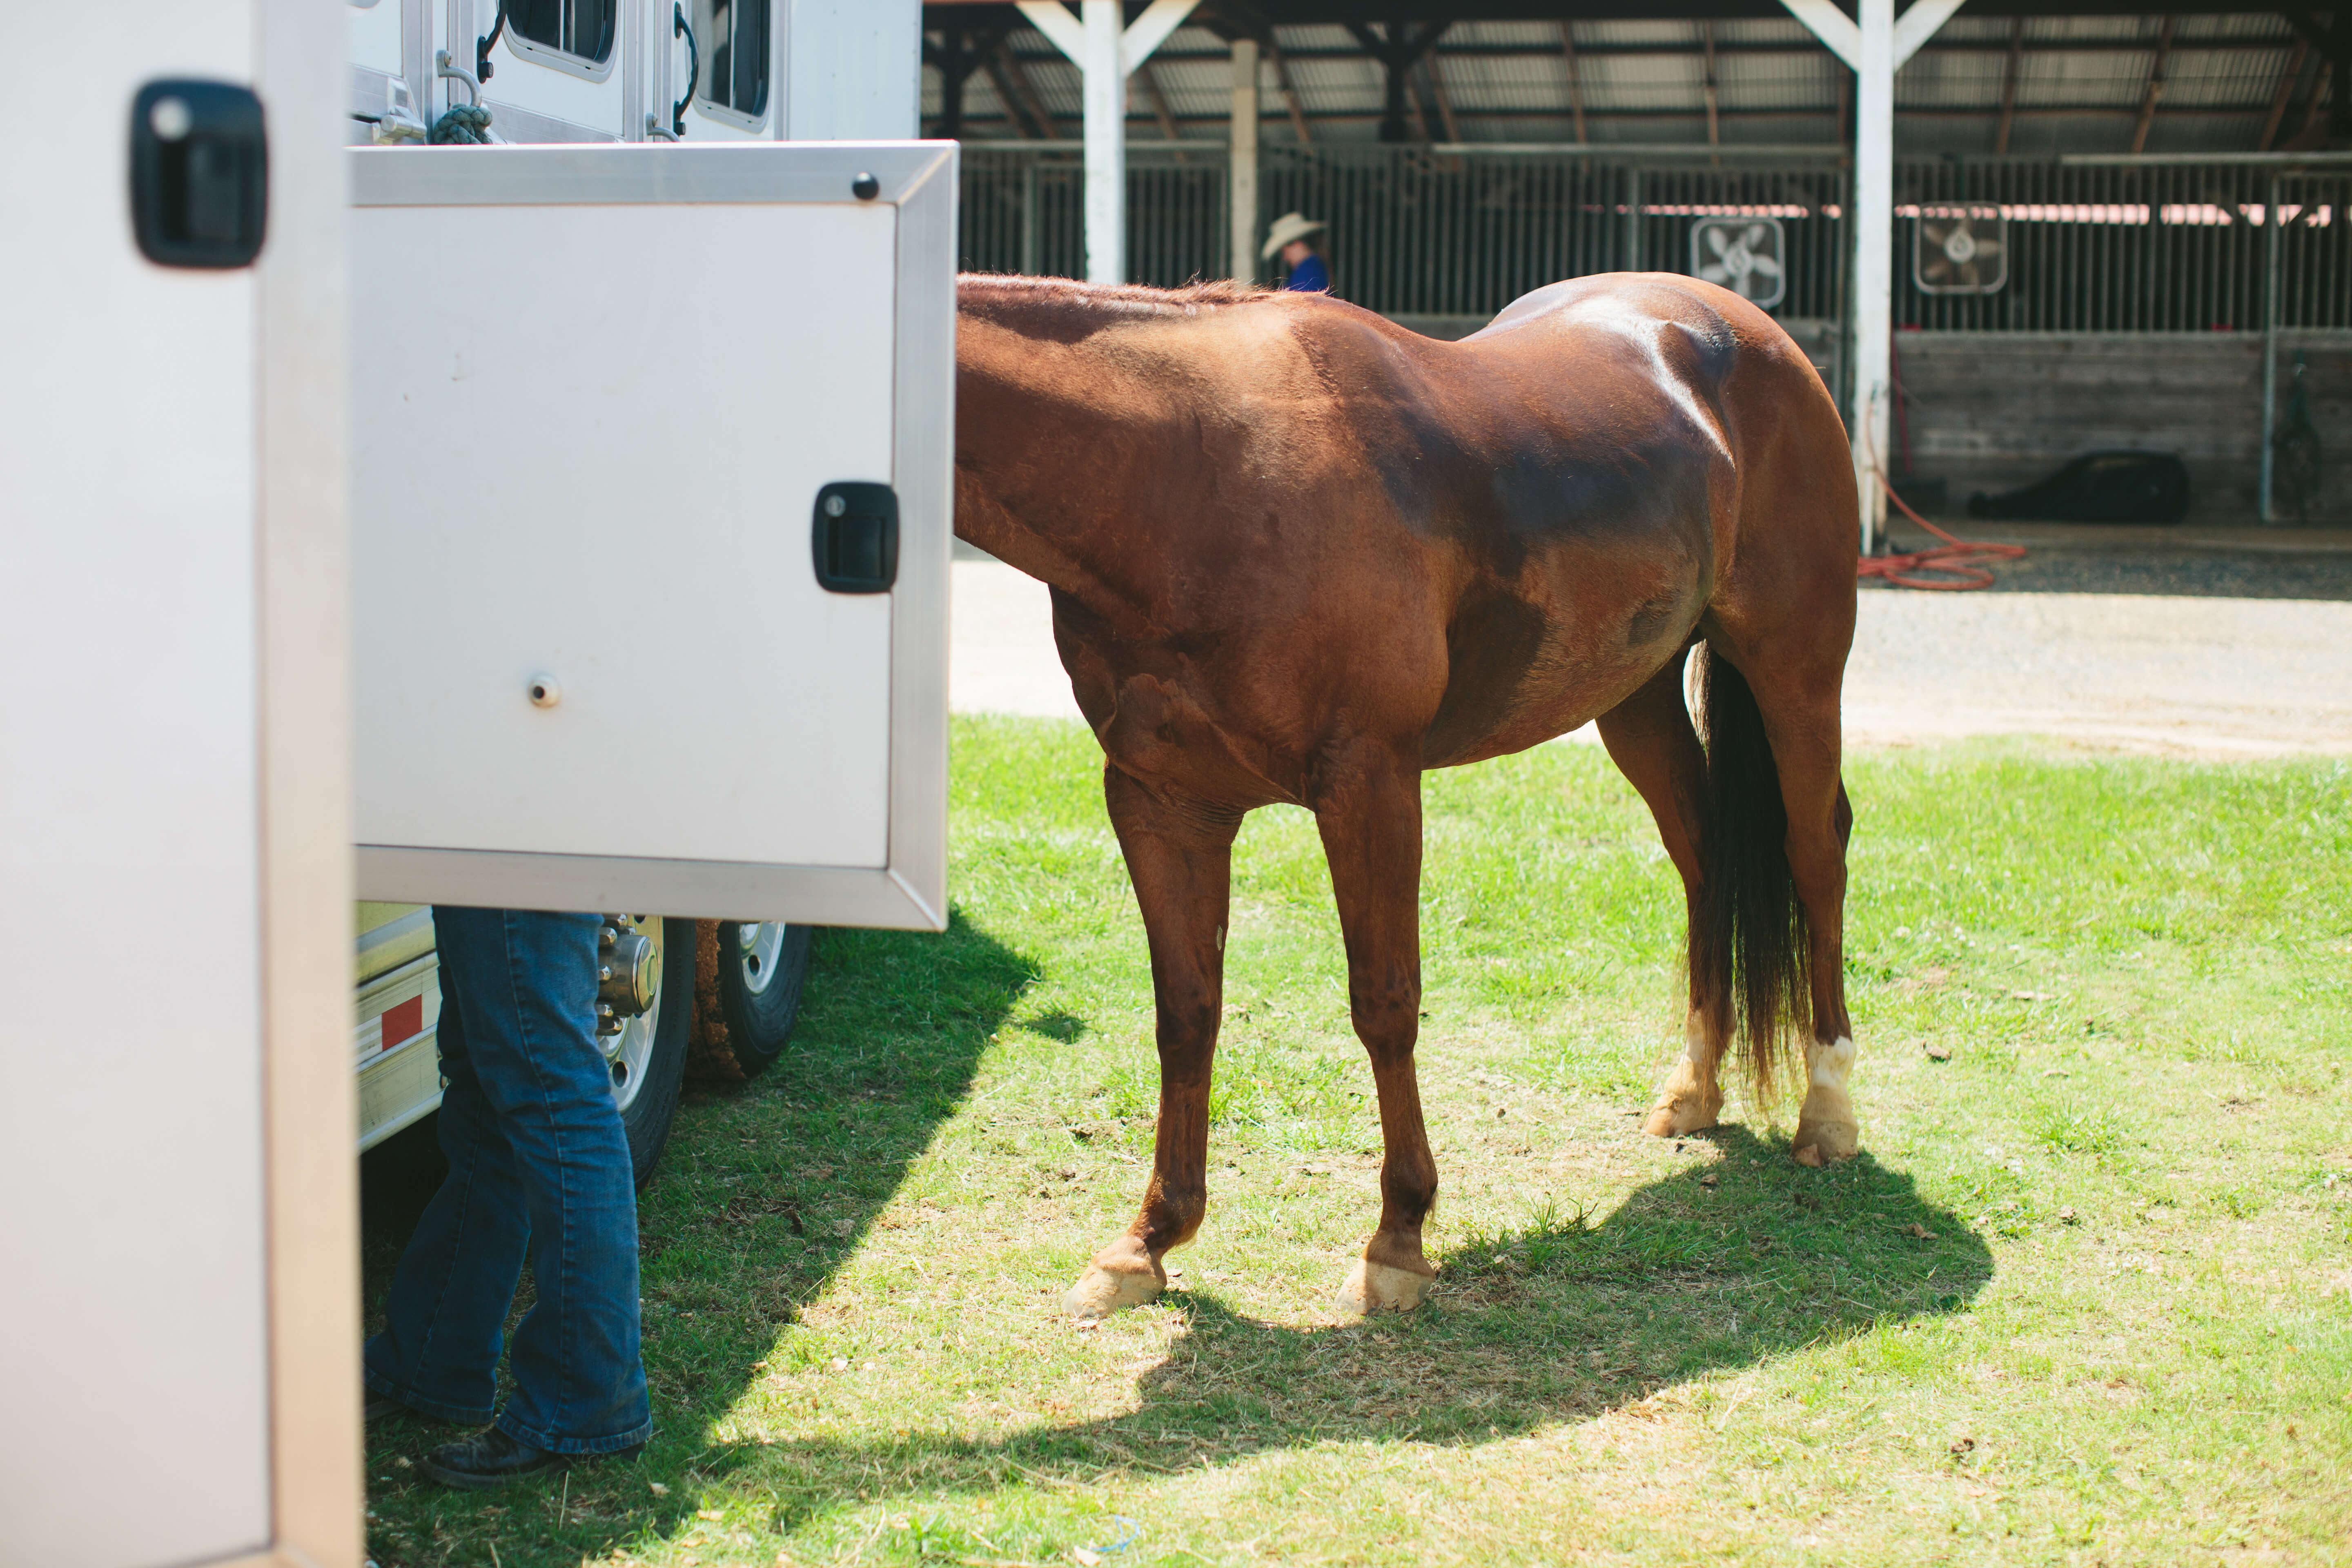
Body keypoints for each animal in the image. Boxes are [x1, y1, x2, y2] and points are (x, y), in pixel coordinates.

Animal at [951, 271, 1861, 1320]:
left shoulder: (1370, 783)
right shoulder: (1159, 800)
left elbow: (1384, 1002)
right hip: (1633, 697)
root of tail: (1745, 332)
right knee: (1704, 856)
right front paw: (1147, 1242)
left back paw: (1829, 1109)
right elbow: (1184, 1011)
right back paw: (1693, 1088)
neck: (1192, 474)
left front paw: (1397, 1239)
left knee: (1815, 855)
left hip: (1795, 668)